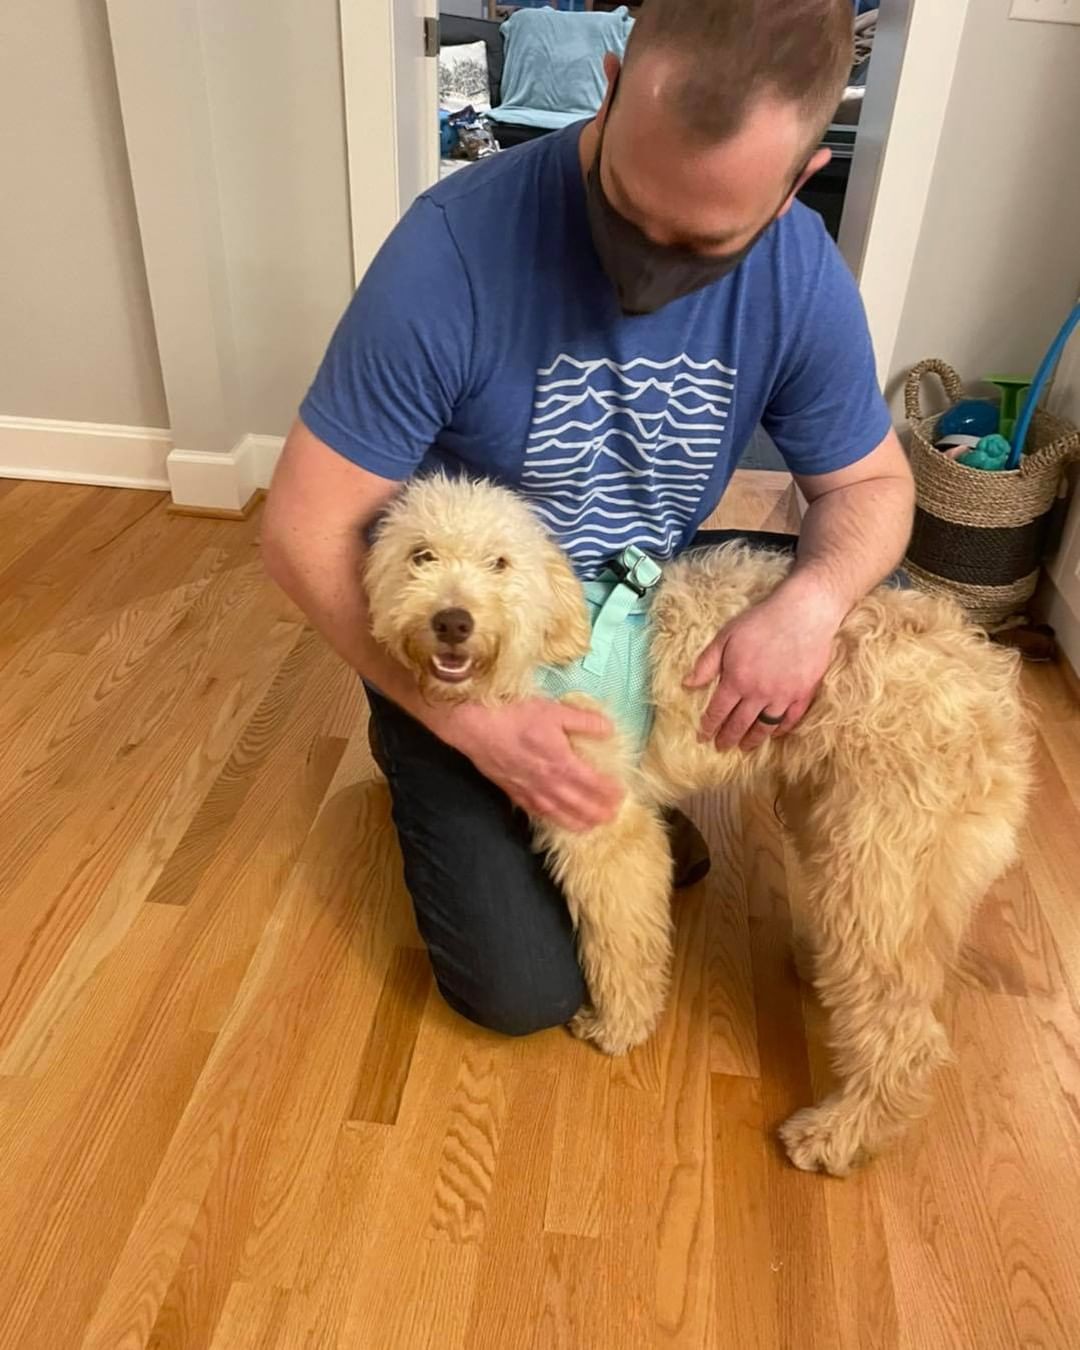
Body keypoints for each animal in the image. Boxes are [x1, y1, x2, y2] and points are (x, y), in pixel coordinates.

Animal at [367, 472, 1031, 1171]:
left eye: (500, 563)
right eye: (420, 556)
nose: (452, 620)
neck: (547, 653)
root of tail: (993, 692)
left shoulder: (607, 830)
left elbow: (621, 940)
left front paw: (619, 1026)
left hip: (877, 873)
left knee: (907, 1036)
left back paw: (836, 1134)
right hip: (838, 833)